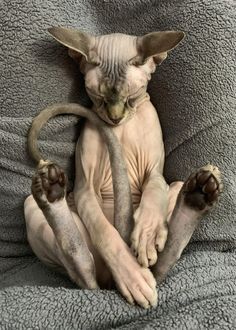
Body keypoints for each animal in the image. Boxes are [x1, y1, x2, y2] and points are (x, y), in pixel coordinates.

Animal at [24, 27, 223, 308]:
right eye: (96, 95)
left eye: (133, 95)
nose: (114, 118)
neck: (120, 130)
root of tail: (109, 282)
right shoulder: (85, 188)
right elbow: (105, 232)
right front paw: (132, 277)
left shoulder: (155, 173)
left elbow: (154, 196)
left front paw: (146, 236)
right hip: (34, 209)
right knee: (83, 271)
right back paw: (50, 191)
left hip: (175, 185)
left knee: (163, 261)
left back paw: (199, 196)